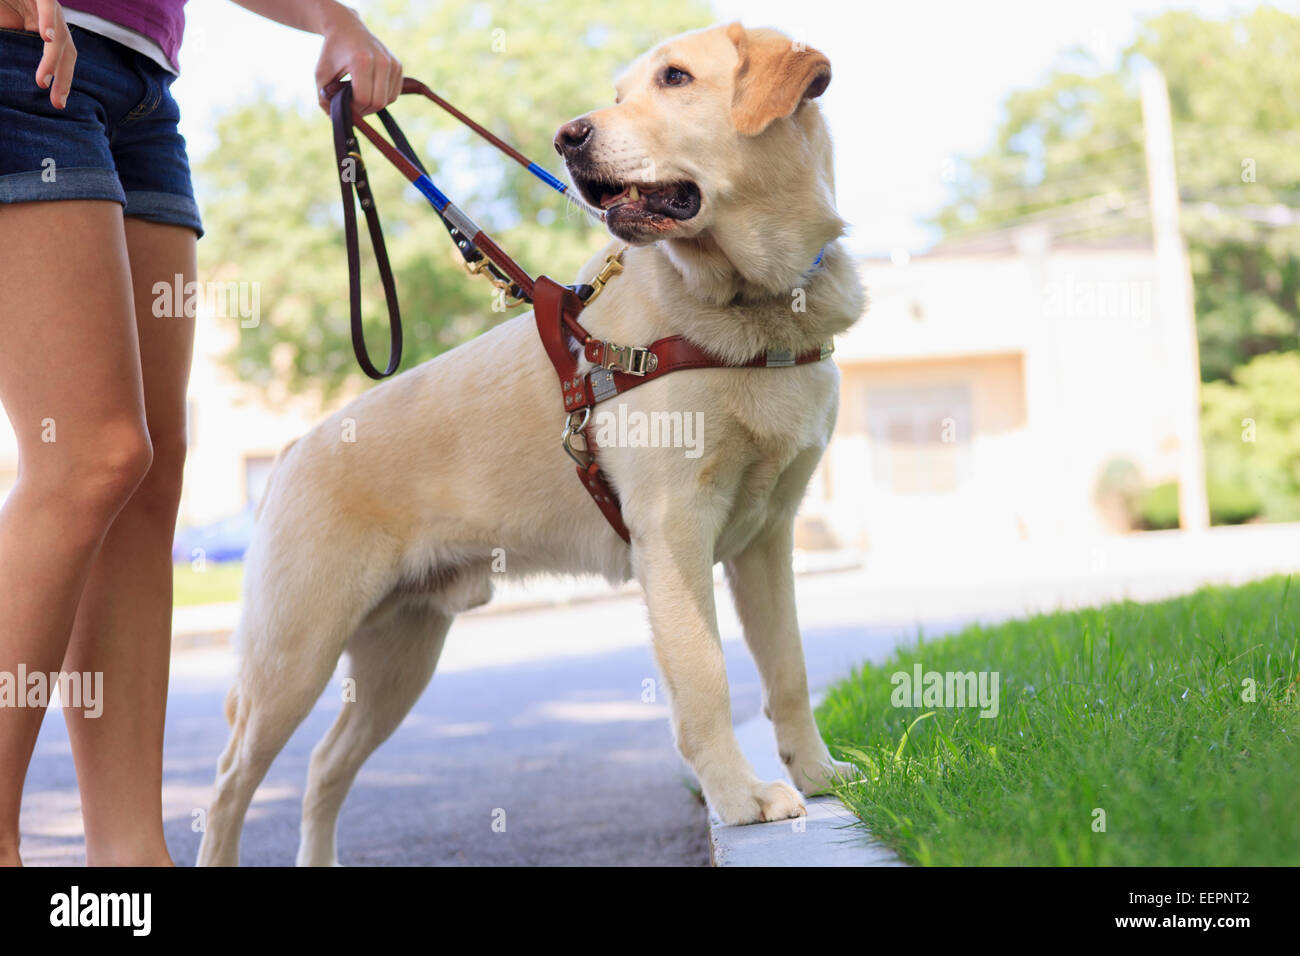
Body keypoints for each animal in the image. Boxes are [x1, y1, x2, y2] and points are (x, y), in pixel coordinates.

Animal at [197, 20, 863, 868]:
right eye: (619, 93)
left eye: (675, 79)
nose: (568, 138)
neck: (748, 303)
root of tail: (290, 451)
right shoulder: (674, 532)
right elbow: (706, 677)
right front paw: (742, 799)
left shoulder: (769, 539)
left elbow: (789, 670)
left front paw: (817, 774)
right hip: (294, 656)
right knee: (228, 786)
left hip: (398, 657)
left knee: (322, 768)